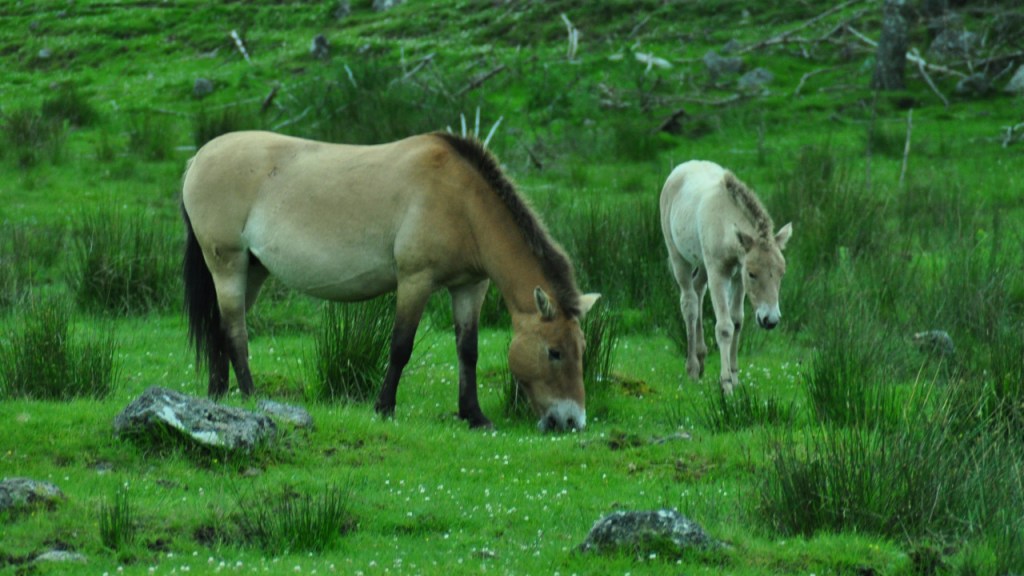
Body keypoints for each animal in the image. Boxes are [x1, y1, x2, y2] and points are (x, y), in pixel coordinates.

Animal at [181, 131, 599, 432]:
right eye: (554, 352)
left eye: (581, 349)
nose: (571, 421)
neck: (461, 201)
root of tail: (198, 158)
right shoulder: (415, 280)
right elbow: (400, 347)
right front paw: (384, 408)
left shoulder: (470, 286)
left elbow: (468, 350)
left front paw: (474, 415)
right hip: (228, 264)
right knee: (234, 331)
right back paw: (251, 397)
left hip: (252, 270)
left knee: (219, 328)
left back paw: (217, 397)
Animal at [659, 160, 792, 394]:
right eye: (752, 274)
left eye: (781, 273)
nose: (770, 320)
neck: (724, 221)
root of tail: (681, 167)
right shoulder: (718, 272)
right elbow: (724, 327)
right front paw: (726, 383)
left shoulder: (737, 275)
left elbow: (737, 321)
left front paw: (735, 376)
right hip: (678, 256)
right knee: (689, 303)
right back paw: (693, 368)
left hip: (702, 263)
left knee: (698, 289)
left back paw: (701, 357)